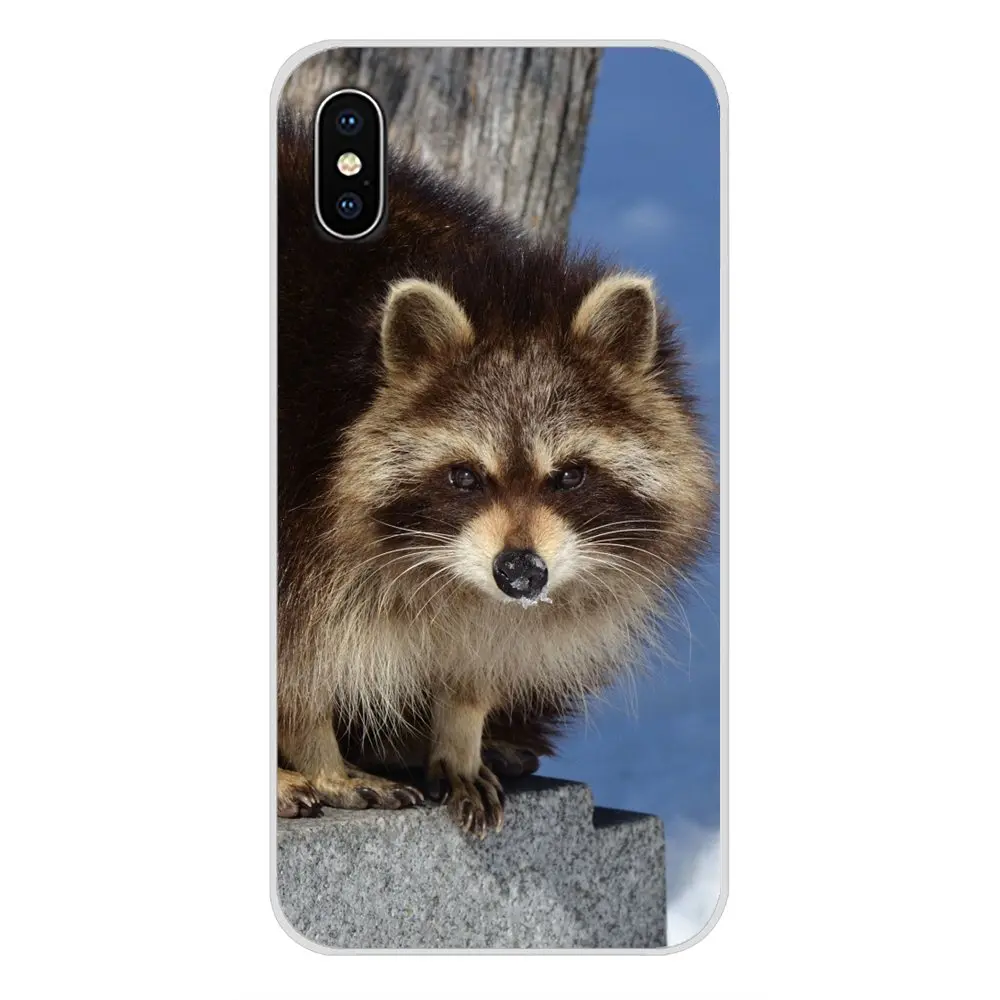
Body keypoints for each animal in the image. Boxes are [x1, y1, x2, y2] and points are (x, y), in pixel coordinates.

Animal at [276, 122, 715, 837]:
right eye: (463, 476)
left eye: (568, 475)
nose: (520, 573)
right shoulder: (300, 499)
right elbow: (298, 657)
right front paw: (318, 753)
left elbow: (488, 644)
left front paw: (460, 727)